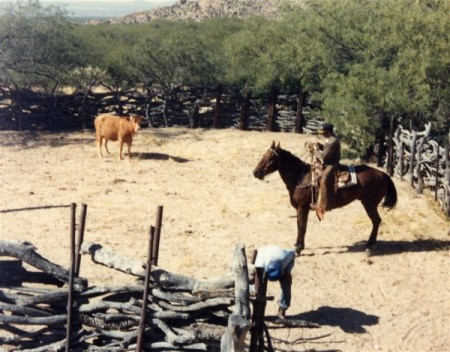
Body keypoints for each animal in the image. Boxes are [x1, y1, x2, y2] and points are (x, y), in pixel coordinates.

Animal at [253, 142, 398, 254]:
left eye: (270, 158)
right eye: (263, 155)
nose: (256, 172)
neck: (300, 177)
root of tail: (382, 173)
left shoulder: (302, 208)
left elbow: (302, 226)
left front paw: (298, 249)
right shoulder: (300, 209)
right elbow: (300, 226)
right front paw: (298, 245)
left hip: (369, 204)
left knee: (376, 221)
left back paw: (369, 246)